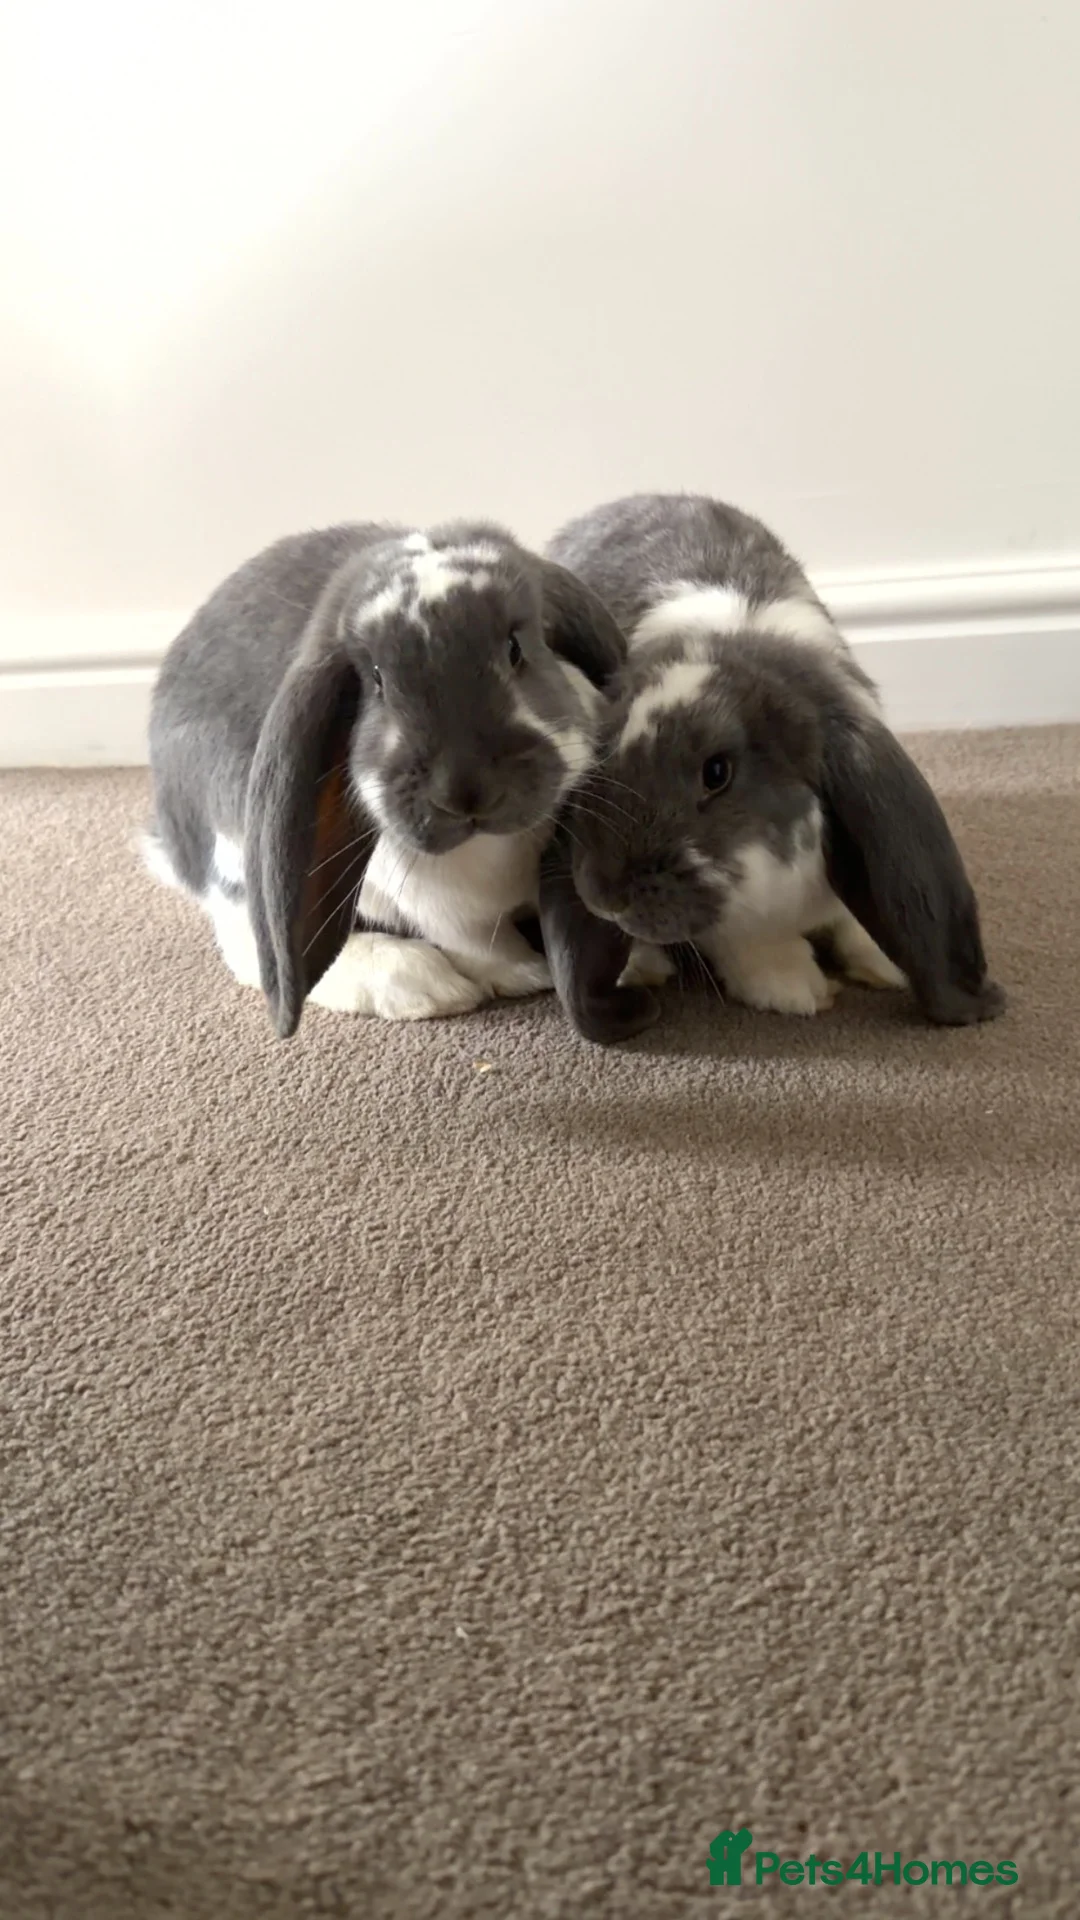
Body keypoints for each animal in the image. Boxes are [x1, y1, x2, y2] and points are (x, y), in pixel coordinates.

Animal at [144, 519, 627, 1037]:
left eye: (516, 649)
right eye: (377, 679)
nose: (464, 791)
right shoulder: (440, 907)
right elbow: (479, 944)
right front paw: (526, 974)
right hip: (234, 856)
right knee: (248, 943)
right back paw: (422, 985)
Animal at [538, 492, 1004, 1042]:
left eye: (717, 772)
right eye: (602, 757)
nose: (601, 894)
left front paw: (880, 965)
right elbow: (742, 939)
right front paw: (796, 989)